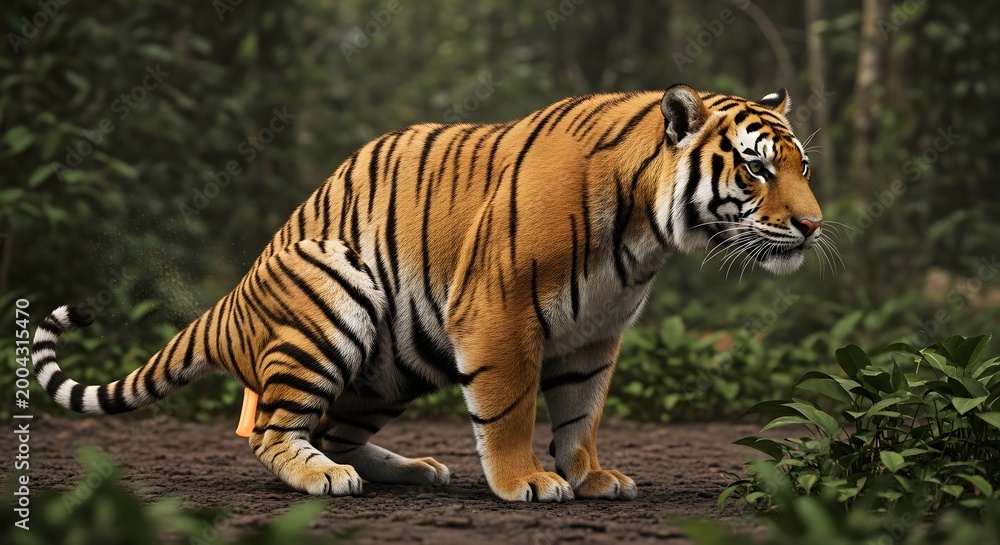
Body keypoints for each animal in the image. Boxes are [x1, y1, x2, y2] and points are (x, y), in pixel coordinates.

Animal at [32, 84, 824, 502]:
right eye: (755, 168)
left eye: (802, 166)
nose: (814, 225)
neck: (646, 231)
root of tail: (233, 299)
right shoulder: (501, 311)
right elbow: (511, 409)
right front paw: (526, 481)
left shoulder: (597, 334)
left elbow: (582, 414)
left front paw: (592, 475)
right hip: (334, 297)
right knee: (274, 430)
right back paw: (324, 477)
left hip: (394, 366)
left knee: (334, 425)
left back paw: (409, 467)